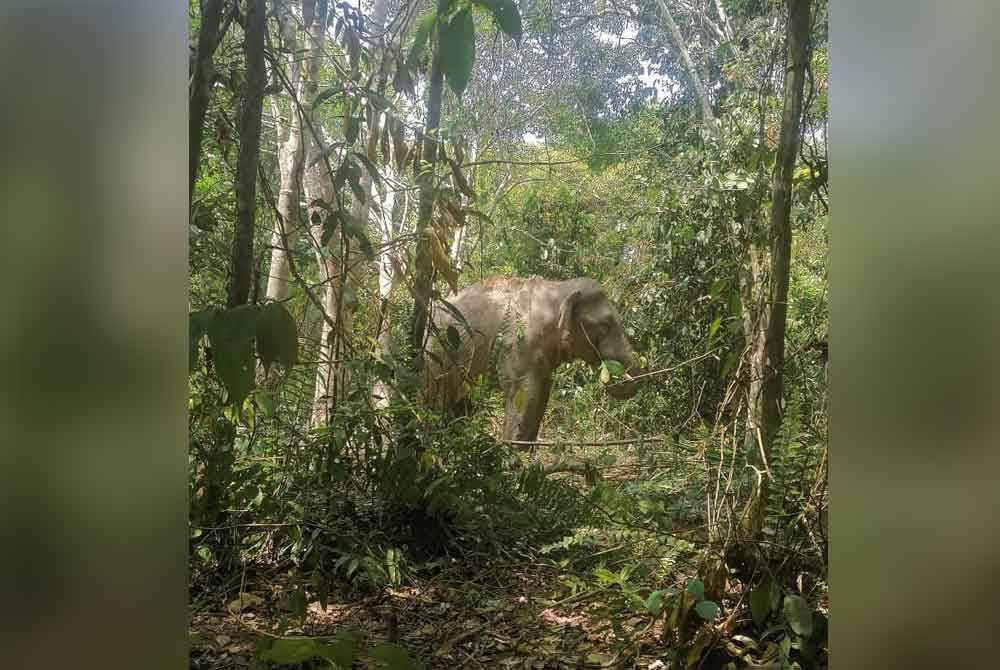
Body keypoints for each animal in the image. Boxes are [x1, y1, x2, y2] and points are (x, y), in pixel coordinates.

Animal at [420, 276, 640, 444]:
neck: (557, 288)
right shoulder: (517, 343)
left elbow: (541, 395)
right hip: (435, 354)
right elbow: (524, 395)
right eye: (605, 326)